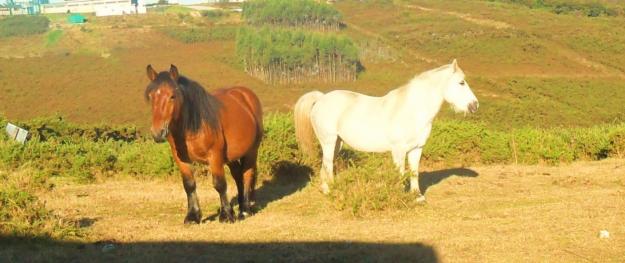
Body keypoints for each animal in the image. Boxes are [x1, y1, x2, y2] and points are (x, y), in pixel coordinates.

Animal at [145, 65, 262, 224]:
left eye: (172, 96)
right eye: (151, 97)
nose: (158, 132)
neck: (193, 125)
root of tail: (246, 95)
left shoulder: (215, 156)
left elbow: (219, 184)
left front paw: (226, 215)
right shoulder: (181, 160)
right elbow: (189, 185)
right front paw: (193, 216)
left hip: (251, 151)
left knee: (247, 174)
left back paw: (244, 211)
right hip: (230, 157)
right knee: (238, 176)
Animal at [292, 59, 478, 202]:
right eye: (461, 82)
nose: (474, 105)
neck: (412, 109)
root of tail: (320, 98)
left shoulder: (416, 149)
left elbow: (414, 172)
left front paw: (417, 197)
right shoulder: (398, 150)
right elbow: (400, 173)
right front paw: (398, 196)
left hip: (337, 143)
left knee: (325, 166)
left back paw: (327, 190)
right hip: (329, 141)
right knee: (328, 165)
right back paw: (333, 192)